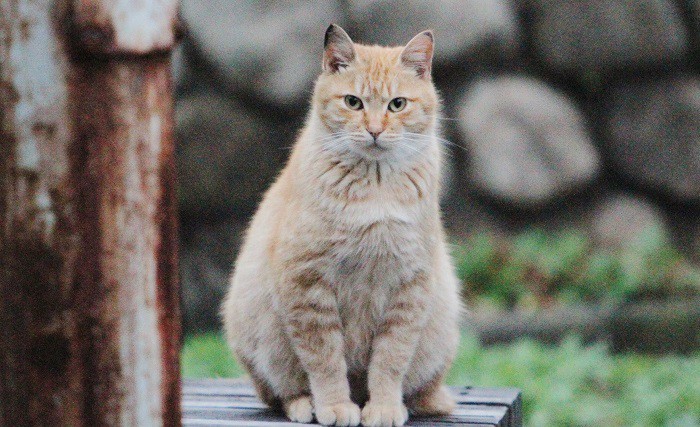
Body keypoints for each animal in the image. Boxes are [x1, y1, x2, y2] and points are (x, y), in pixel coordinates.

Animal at [221, 24, 462, 427]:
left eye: (397, 104)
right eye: (353, 102)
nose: (375, 130)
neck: (375, 185)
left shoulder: (410, 285)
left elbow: (390, 360)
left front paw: (383, 407)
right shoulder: (308, 283)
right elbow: (324, 359)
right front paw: (334, 406)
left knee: (420, 388)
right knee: (279, 393)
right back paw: (306, 405)